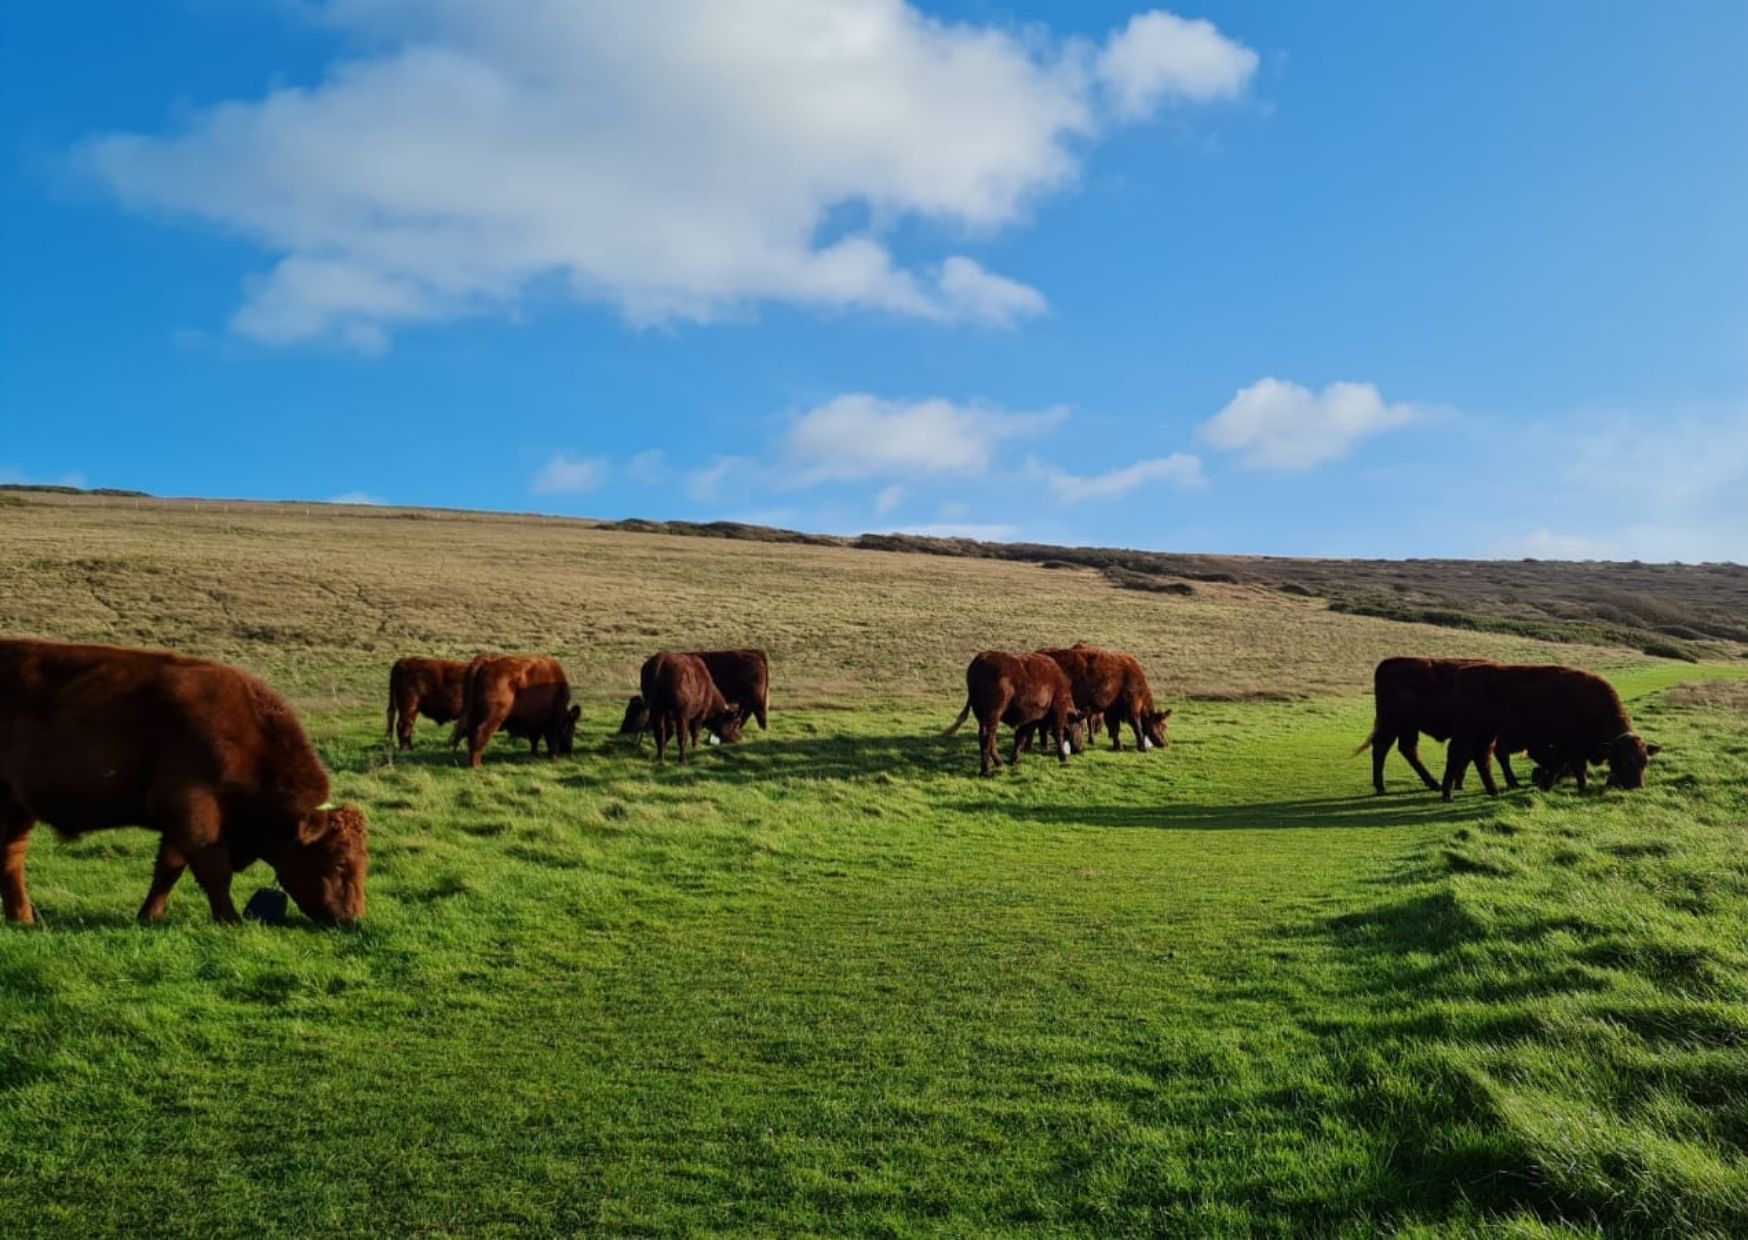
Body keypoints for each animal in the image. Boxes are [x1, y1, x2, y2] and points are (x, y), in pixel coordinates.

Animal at [0, 643, 368, 923]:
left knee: (11, 858)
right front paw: (231, 921)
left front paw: (149, 916)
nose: (352, 919)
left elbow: (169, 869)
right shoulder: (193, 811)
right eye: (338, 861)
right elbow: (213, 871)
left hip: (18, 809)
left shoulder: (179, 824)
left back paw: (22, 919)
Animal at [943, 647, 1076, 773]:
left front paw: (1014, 759)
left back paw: (998, 762)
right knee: (986, 736)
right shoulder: (1058, 712)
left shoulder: (1029, 719)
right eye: (1078, 725)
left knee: (991, 738)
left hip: (984, 716)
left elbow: (1020, 738)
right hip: (993, 714)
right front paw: (1063, 757)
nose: (1078, 750)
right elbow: (1058, 734)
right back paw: (986, 770)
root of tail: (982, 657)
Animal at [1440, 661, 1657, 797]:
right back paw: (1449, 794)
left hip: (1486, 735)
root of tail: (1463, 674)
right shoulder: (1571, 747)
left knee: (1480, 757)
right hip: (1470, 733)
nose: (1637, 786)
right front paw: (1582, 787)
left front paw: (1547, 785)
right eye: (1625, 761)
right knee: (1459, 755)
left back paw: (1495, 790)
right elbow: (1574, 767)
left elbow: (1558, 765)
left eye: (1645, 761)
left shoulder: (1565, 748)